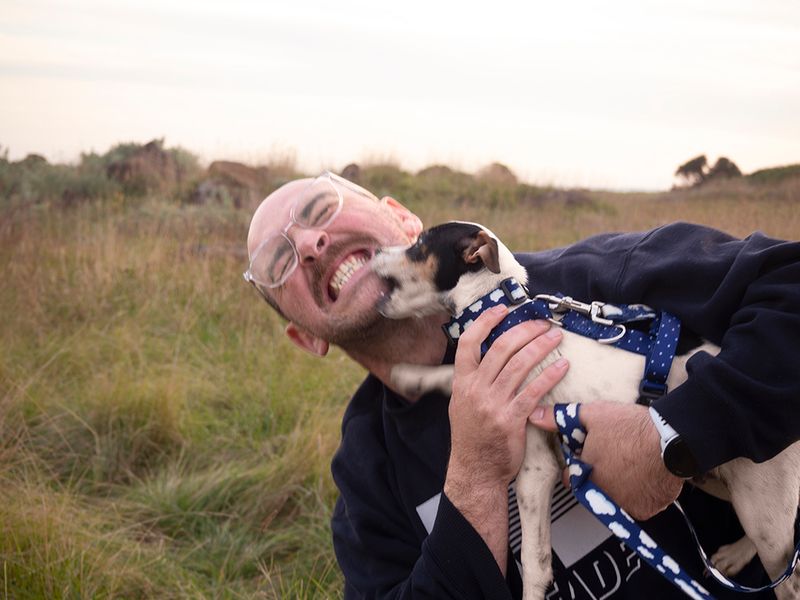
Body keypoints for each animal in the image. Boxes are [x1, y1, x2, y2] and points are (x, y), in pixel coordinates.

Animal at [374, 221, 800, 600]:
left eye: (419, 244)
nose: (376, 250)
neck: (504, 312)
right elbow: (452, 375)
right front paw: (410, 376)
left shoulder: (536, 466)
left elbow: (535, 562)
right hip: (713, 474)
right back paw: (734, 555)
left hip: (760, 506)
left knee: (789, 573)